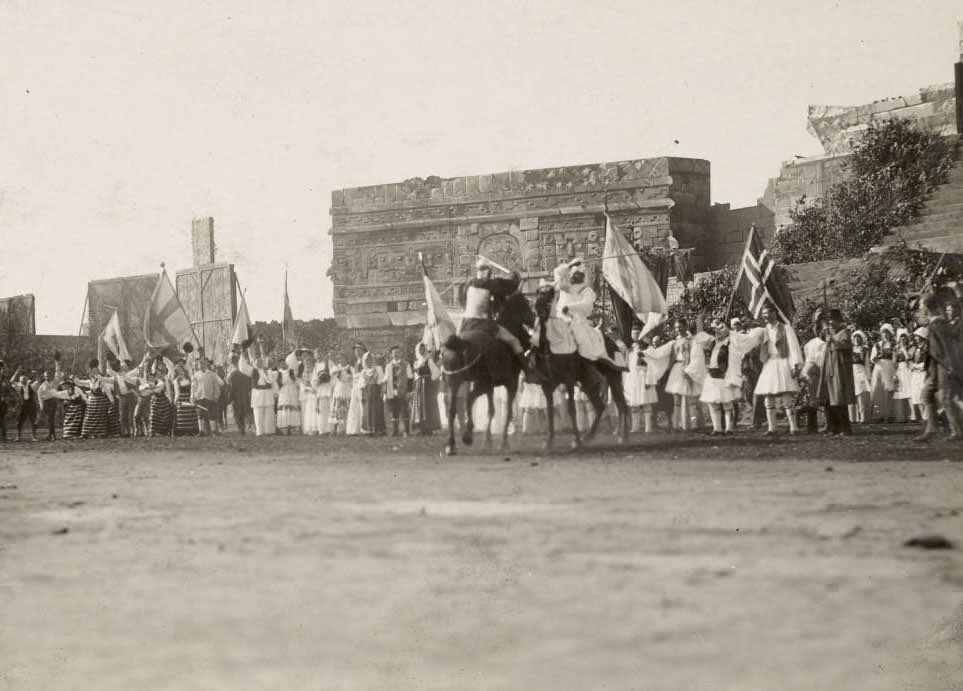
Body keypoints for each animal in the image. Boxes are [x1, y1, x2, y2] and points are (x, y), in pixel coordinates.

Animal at [438, 290, 532, 456]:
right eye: (525, 304)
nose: (533, 318)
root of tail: (461, 342)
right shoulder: (511, 383)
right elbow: (507, 412)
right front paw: (504, 443)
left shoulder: (490, 387)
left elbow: (491, 411)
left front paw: (488, 442)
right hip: (480, 383)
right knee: (469, 398)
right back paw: (467, 435)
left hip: (454, 382)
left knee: (451, 408)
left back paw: (451, 444)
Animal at [528, 286, 632, 452]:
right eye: (538, 292)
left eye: (549, 293)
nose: (537, 306)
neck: (549, 348)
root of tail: (613, 342)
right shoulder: (547, 385)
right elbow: (550, 411)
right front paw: (549, 441)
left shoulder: (569, 381)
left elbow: (571, 409)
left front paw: (576, 441)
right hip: (588, 384)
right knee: (600, 406)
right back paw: (589, 436)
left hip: (613, 378)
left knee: (622, 405)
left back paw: (623, 437)